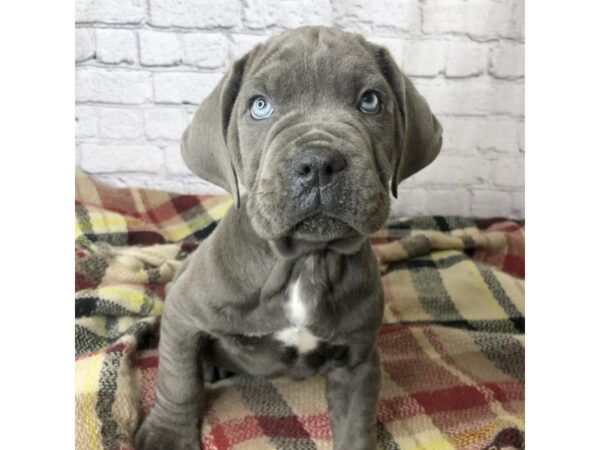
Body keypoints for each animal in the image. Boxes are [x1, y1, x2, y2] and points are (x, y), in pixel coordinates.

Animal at [138, 25, 442, 450]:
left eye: (370, 101)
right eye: (259, 106)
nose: (318, 163)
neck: (304, 261)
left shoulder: (358, 361)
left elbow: (356, 423)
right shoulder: (183, 315)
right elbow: (177, 380)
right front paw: (167, 435)